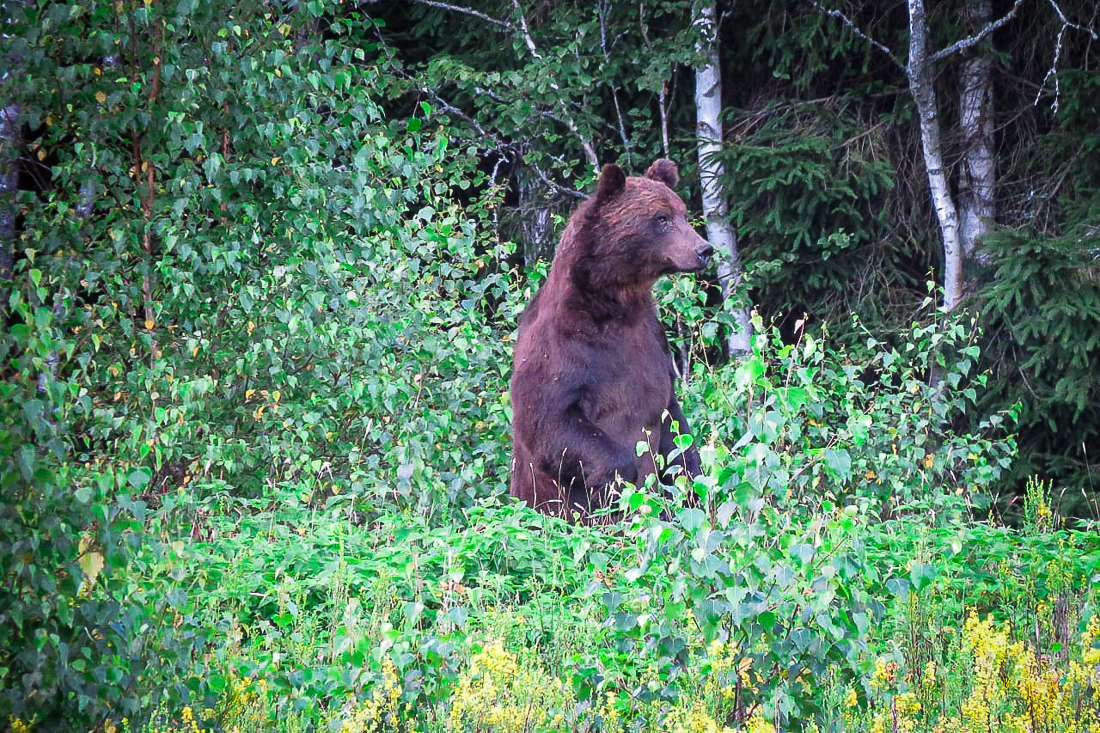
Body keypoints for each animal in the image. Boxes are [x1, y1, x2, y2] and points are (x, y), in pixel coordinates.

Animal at [508, 158, 712, 519]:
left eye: (683, 213)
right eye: (661, 218)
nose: (704, 249)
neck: (613, 307)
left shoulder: (652, 340)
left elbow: (672, 420)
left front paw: (690, 480)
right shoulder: (560, 350)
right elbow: (548, 418)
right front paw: (623, 482)